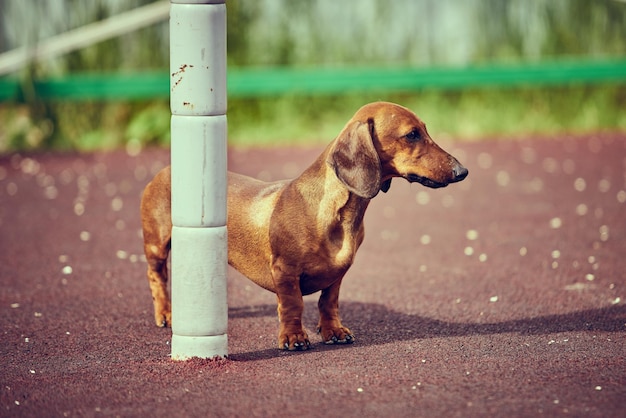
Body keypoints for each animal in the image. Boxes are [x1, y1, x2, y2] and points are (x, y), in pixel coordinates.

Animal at [140, 101, 464, 350]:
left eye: (425, 130)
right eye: (411, 135)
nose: (462, 171)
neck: (336, 213)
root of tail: (167, 169)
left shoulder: (339, 273)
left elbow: (328, 302)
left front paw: (333, 331)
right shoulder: (285, 271)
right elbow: (293, 304)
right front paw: (294, 337)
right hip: (157, 244)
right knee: (157, 277)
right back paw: (166, 313)